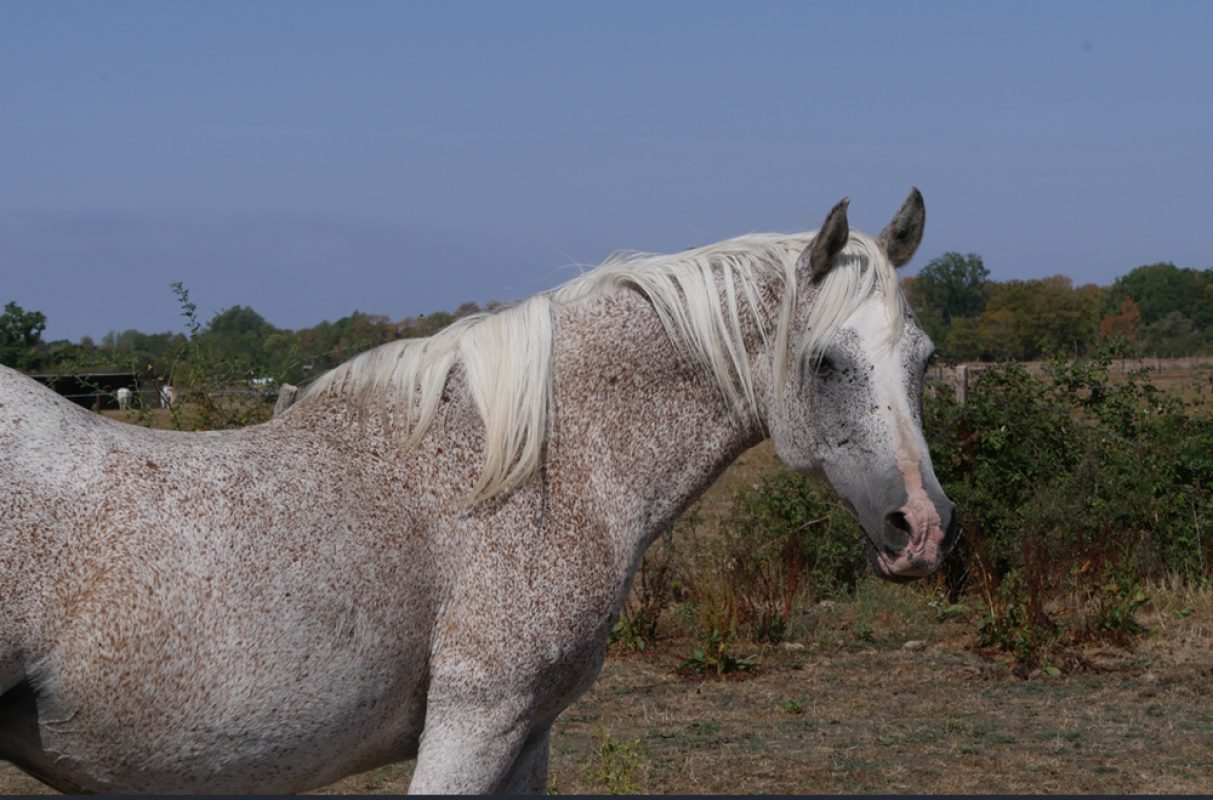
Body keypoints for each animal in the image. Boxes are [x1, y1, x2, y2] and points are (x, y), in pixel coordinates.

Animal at [0, 189, 956, 794]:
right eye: (826, 363)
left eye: (923, 359)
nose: (921, 528)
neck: (536, 478)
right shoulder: (476, 720)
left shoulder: (526, 731)